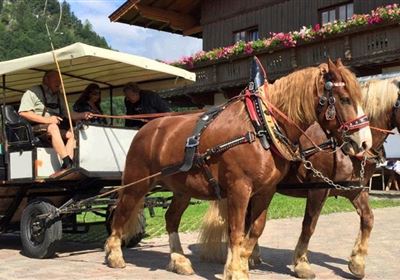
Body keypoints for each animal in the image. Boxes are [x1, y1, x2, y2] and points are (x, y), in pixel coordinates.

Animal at [104, 59, 372, 280]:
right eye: (345, 98)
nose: (364, 143)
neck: (261, 127)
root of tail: (147, 128)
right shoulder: (239, 189)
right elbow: (236, 231)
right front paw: (236, 270)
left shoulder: (266, 191)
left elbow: (255, 229)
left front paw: (242, 264)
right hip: (137, 182)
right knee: (121, 213)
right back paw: (114, 254)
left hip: (182, 190)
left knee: (171, 218)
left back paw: (179, 261)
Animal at [198, 73, 400, 278]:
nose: (363, 143)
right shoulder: (318, 190)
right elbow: (309, 225)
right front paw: (302, 264)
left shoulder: (355, 190)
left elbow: (368, 219)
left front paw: (357, 263)